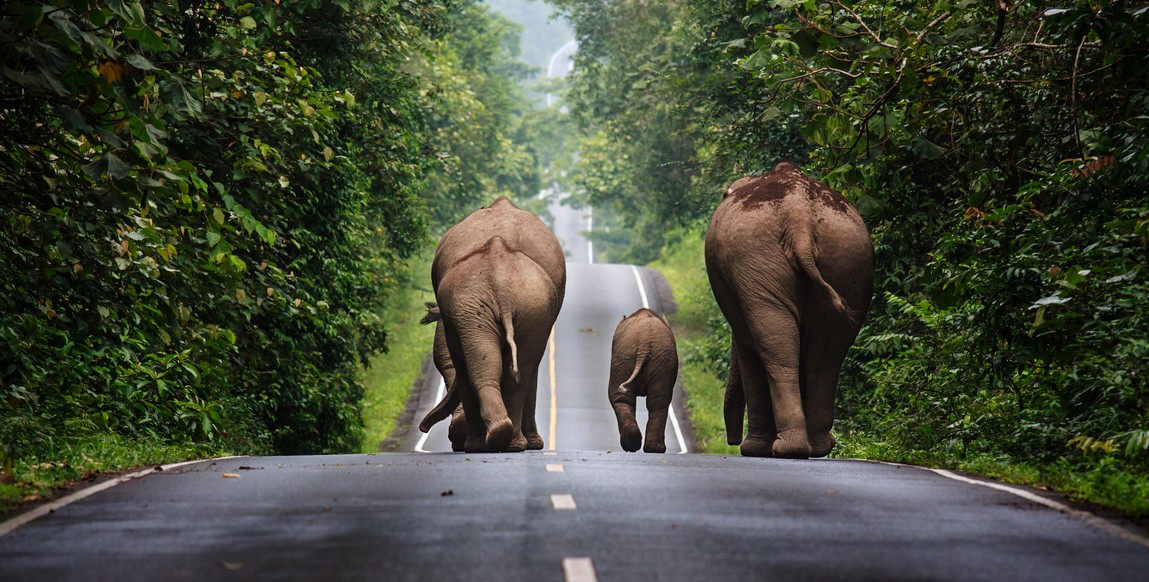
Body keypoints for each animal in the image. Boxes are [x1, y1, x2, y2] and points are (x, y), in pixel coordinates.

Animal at [420, 198, 567, 452]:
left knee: (501, 366)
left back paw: (490, 442)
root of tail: (501, 281)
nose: (423, 428)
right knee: (516, 367)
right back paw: (504, 440)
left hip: (506, 304)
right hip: (504, 305)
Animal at [606, 307, 675, 452]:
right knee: (658, 400)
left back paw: (635, 445)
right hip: (655, 359)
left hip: (626, 357)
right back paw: (650, 448)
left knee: (620, 396)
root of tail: (644, 344)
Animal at [703, 160, 873, 459]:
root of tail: (799, 220)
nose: (731, 441)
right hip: (843, 260)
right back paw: (815, 448)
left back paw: (782, 448)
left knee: (778, 349)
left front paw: (752, 449)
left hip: (760, 257)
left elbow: (746, 347)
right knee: (826, 355)